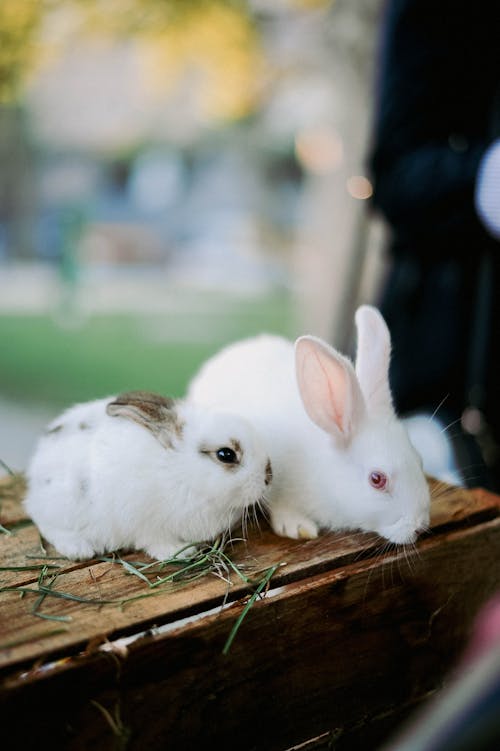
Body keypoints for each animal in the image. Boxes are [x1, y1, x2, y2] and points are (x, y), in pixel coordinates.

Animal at [23, 390, 272, 560]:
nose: (268, 477)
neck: (182, 472)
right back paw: (80, 549)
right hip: (64, 505)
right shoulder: (144, 523)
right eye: (226, 455)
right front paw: (180, 552)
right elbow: (155, 542)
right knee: (45, 523)